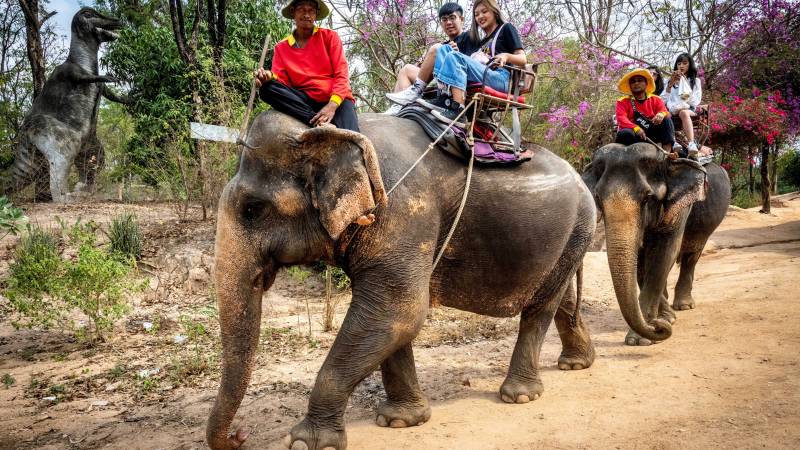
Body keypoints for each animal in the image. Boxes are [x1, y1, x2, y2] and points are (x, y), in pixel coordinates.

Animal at [209, 110, 596, 450]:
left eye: (252, 210)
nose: (240, 436)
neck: (330, 132)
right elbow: (391, 320)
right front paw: (401, 421)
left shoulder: (402, 211)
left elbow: (399, 311)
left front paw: (307, 442)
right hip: (570, 239)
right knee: (559, 296)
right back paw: (576, 364)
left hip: (580, 224)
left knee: (540, 308)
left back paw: (520, 396)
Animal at [580, 142, 732, 346]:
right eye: (598, 199)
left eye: (647, 198)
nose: (659, 328)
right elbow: (641, 263)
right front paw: (664, 320)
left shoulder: (680, 206)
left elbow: (663, 253)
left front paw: (640, 339)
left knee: (691, 255)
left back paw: (684, 306)